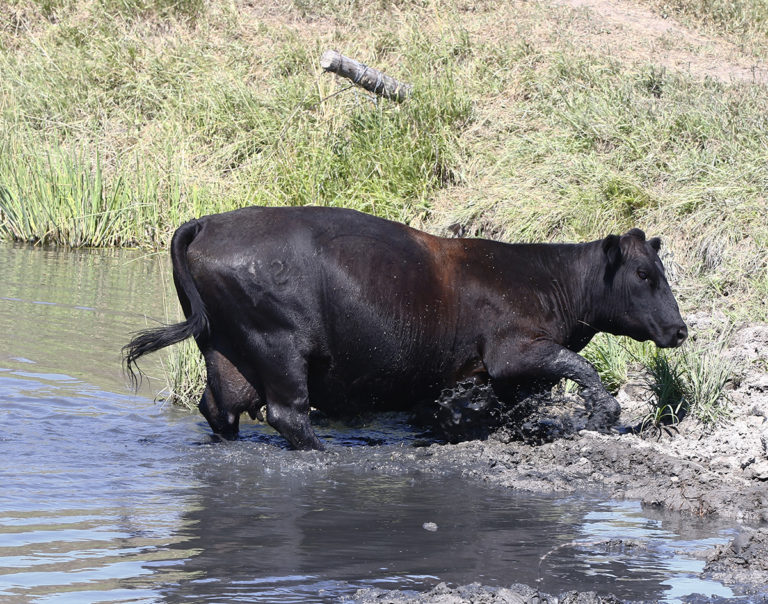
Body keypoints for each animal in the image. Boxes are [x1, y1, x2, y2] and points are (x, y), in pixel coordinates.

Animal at [123, 208, 688, 448]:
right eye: (644, 274)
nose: (680, 330)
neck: (548, 279)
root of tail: (208, 222)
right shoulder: (514, 352)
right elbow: (583, 369)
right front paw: (597, 416)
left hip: (225, 350)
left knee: (219, 407)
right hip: (279, 346)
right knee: (289, 415)